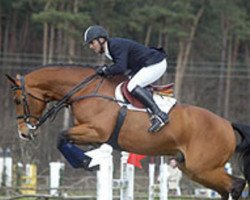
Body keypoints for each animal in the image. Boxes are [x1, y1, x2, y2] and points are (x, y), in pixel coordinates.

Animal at [5, 64, 250, 200]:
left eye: (17, 100)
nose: (23, 133)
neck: (85, 91)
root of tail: (227, 124)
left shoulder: (96, 131)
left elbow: (61, 136)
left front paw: (85, 161)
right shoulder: (91, 134)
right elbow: (67, 140)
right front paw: (89, 159)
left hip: (203, 167)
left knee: (236, 185)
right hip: (193, 168)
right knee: (227, 188)